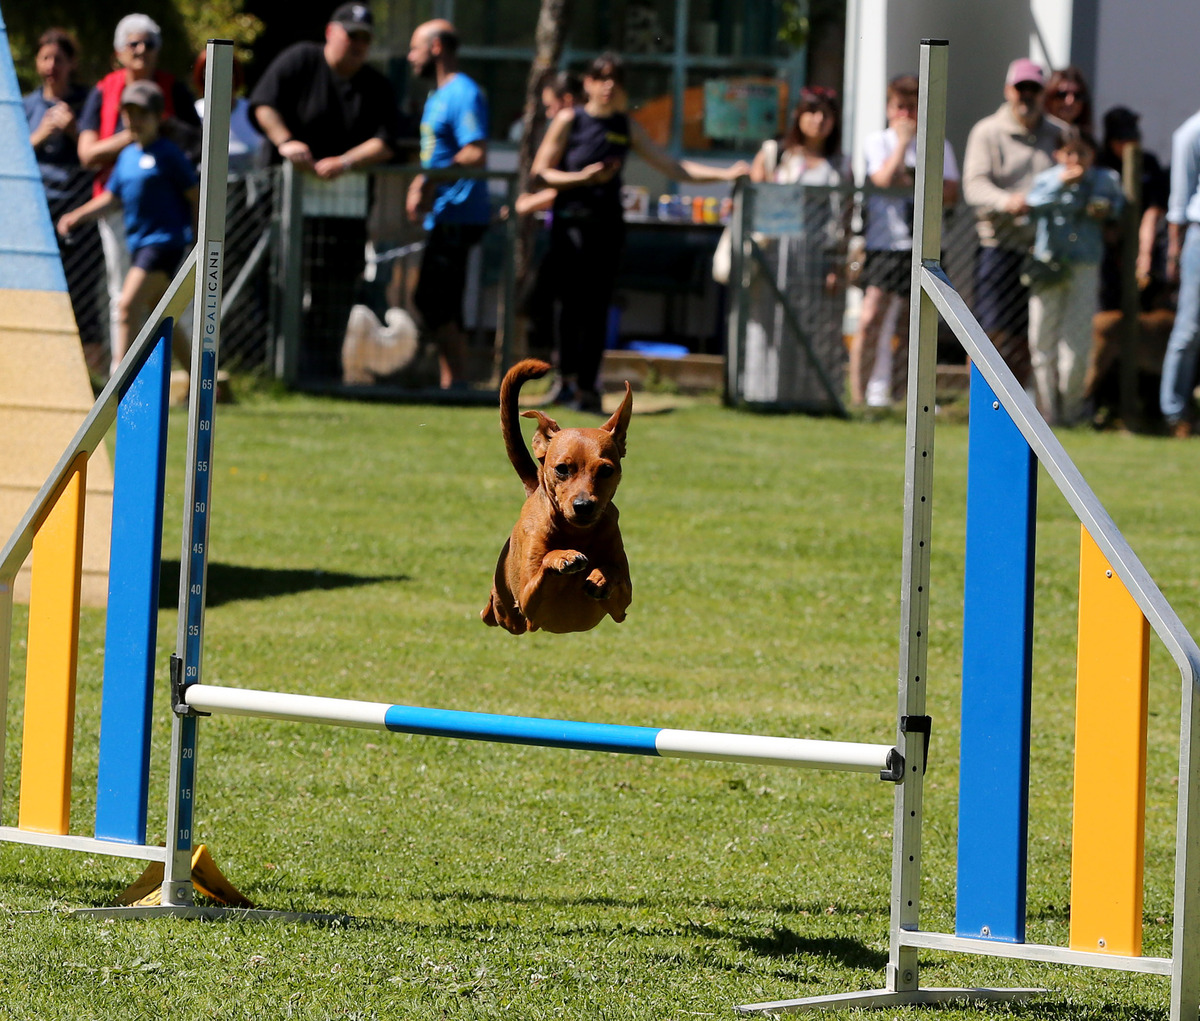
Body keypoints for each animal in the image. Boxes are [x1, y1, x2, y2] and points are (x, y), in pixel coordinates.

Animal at [482, 357, 633, 628]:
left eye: (606, 470)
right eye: (562, 469)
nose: (583, 506)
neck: (576, 534)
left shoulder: (621, 606)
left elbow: (615, 573)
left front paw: (600, 576)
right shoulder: (528, 601)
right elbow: (544, 561)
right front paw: (562, 557)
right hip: (509, 615)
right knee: (496, 610)